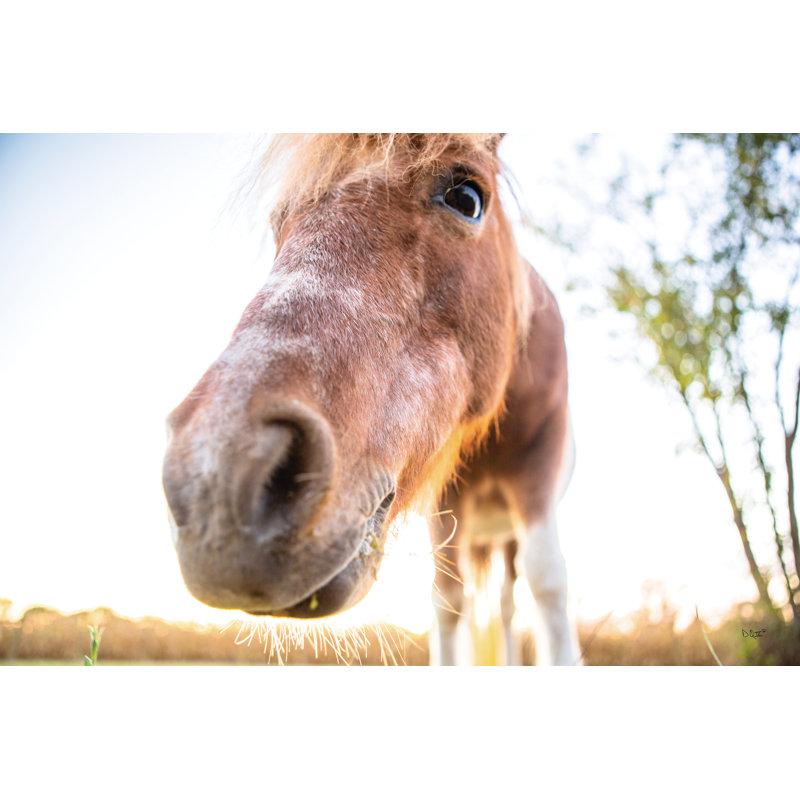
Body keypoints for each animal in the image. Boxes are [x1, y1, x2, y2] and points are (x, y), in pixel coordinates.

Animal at [162, 133, 579, 665]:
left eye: (467, 198)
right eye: (280, 221)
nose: (215, 482)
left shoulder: (537, 475)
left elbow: (548, 584)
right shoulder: (445, 504)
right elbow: (447, 601)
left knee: (508, 602)